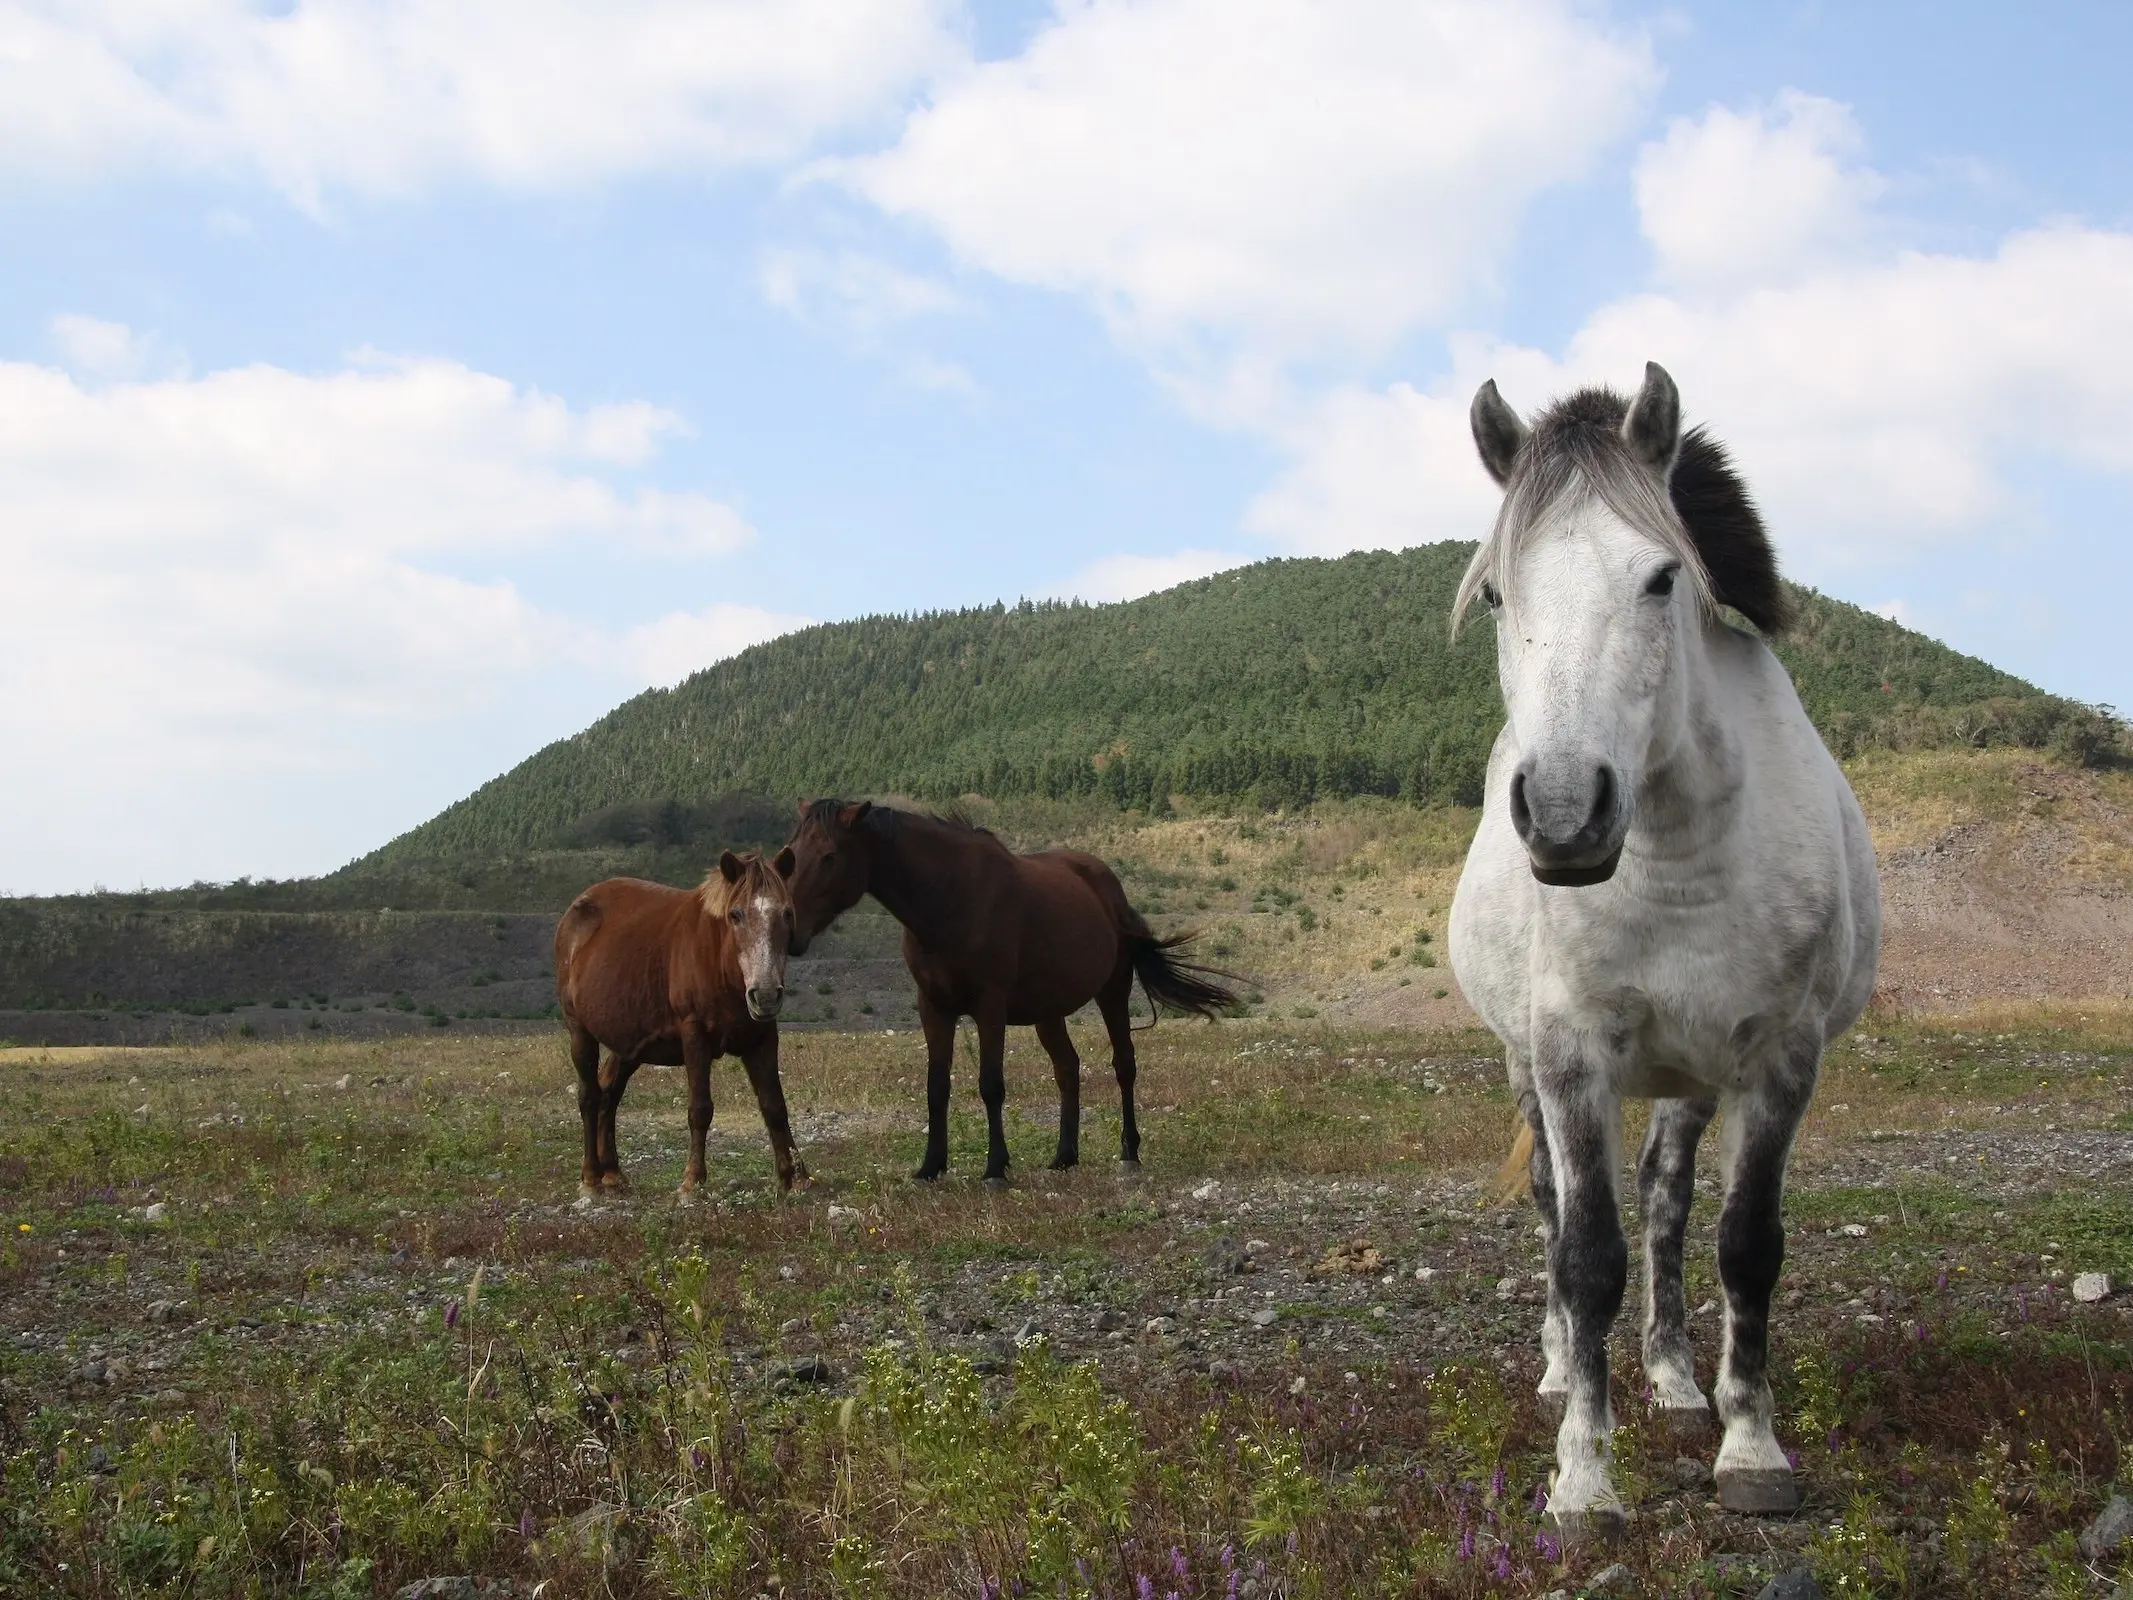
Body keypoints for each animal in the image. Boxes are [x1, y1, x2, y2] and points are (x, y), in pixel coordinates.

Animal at [558, 853, 806, 1203]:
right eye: (735, 914)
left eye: (786, 913)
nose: (766, 995)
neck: (719, 962)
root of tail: (575, 911)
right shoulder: (695, 1036)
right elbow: (700, 1109)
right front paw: (692, 1180)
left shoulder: (762, 1038)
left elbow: (775, 1107)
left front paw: (793, 1177)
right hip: (580, 1031)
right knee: (590, 1096)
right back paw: (591, 1177)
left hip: (630, 1044)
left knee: (609, 1092)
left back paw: (613, 1173)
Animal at [784, 806, 1245, 1186]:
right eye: (791, 853)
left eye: (829, 856)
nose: (790, 928)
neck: (948, 897)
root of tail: (1108, 885)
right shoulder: (934, 1007)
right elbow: (936, 1086)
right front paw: (930, 1167)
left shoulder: (990, 1006)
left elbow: (991, 1084)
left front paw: (995, 1168)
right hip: (1048, 1012)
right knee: (1067, 1068)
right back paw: (1065, 1157)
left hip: (1112, 991)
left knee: (1124, 1065)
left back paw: (1129, 1153)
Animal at [1450, 362, 1885, 1544]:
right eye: (1497, 593)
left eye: (1659, 577)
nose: (1563, 812)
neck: (1677, 853)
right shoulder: (1569, 1055)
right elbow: (1586, 1255)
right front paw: (1583, 1479)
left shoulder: (1780, 1058)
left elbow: (1744, 1243)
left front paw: (1750, 1446)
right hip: (1524, 1065)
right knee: (1557, 1207)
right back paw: (1565, 1368)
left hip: (1689, 1077)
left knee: (1665, 1201)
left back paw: (1677, 1378)